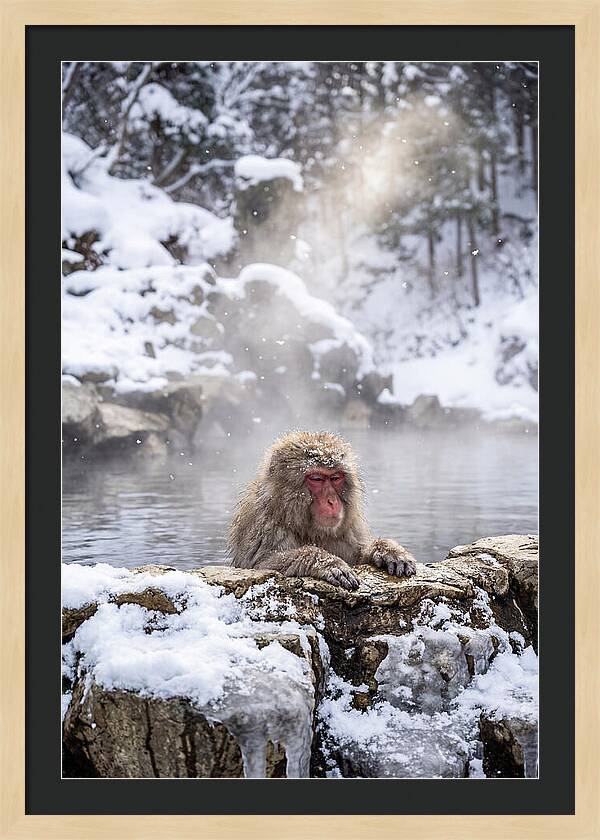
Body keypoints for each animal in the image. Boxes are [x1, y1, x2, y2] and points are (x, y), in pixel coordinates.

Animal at [228, 430, 417, 590]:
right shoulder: (264, 525)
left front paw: (387, 550)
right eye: (317, 479)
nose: (332, 501)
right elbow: (261, 565)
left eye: (335, 478)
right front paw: (327, 562)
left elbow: (358, 557)